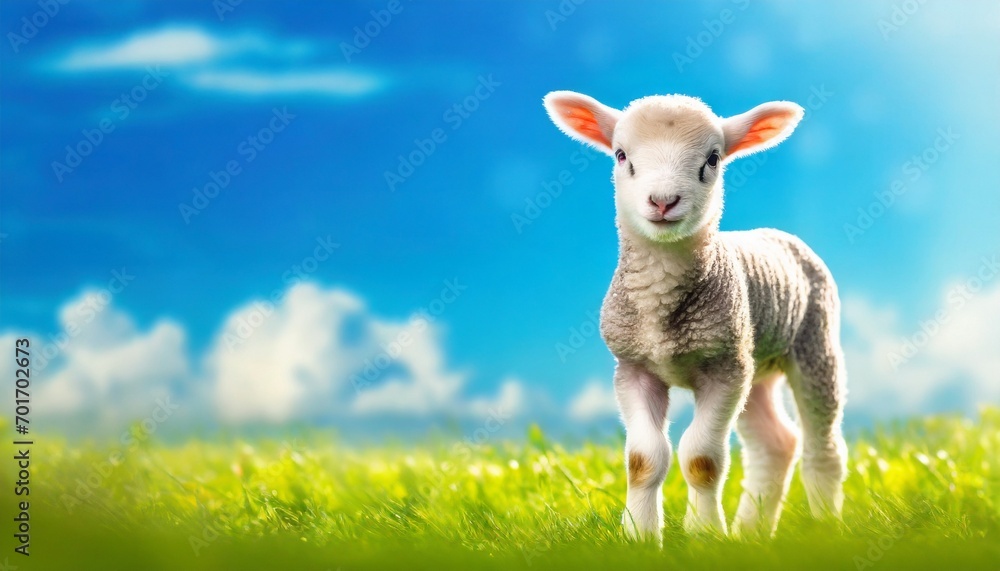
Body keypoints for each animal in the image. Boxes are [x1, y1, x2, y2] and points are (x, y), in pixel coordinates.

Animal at [542, 91, 848, 541]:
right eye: (620, 155)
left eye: (713, 159)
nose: (663, 201)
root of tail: (777, 233)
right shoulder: (633, 368)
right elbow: (643, 459)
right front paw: (639, 536)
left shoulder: (724, 369)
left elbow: (702, 459)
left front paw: (705, 535)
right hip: (754, 365)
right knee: (775, 443)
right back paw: (751, 533)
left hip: (812, 342)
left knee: (823, 445)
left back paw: (826, 525)